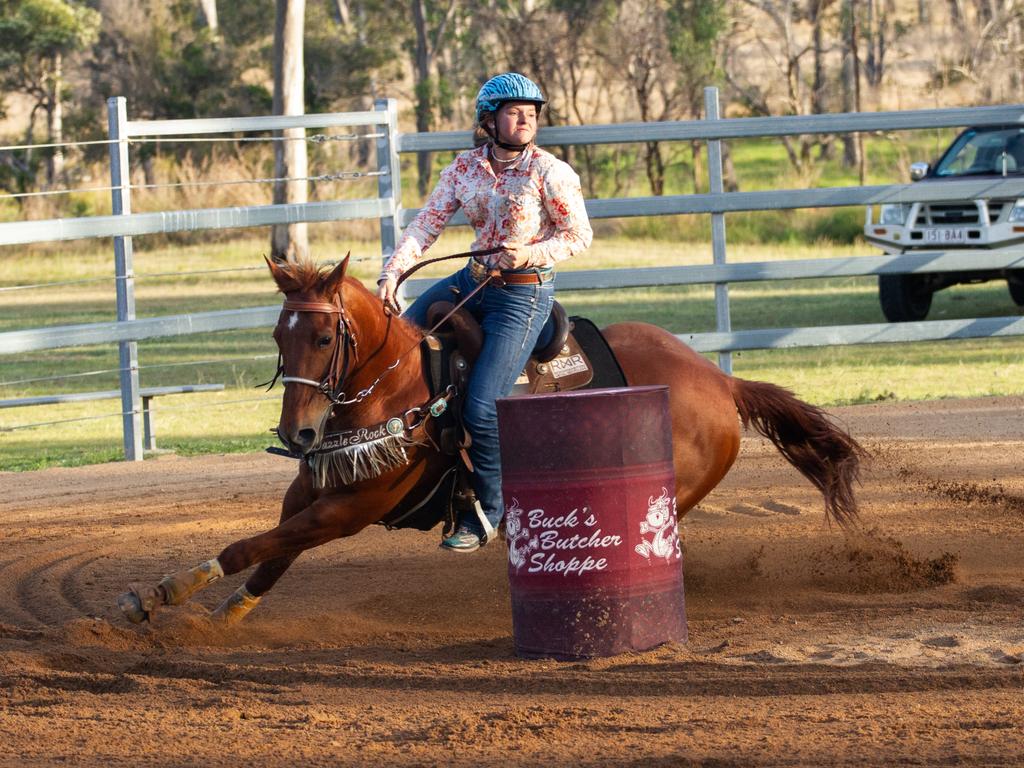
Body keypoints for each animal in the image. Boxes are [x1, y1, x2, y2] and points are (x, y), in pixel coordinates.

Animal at [116, 256, 864, 626]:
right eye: (279, 333)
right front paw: (219, 617)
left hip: (668, 490)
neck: (397, 390)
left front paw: (166, 593)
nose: (295, 430)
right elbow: (271, 555)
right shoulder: (311, 492)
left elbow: (250, 545)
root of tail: (718, 379)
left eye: (326, 336)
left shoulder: (349, 510)